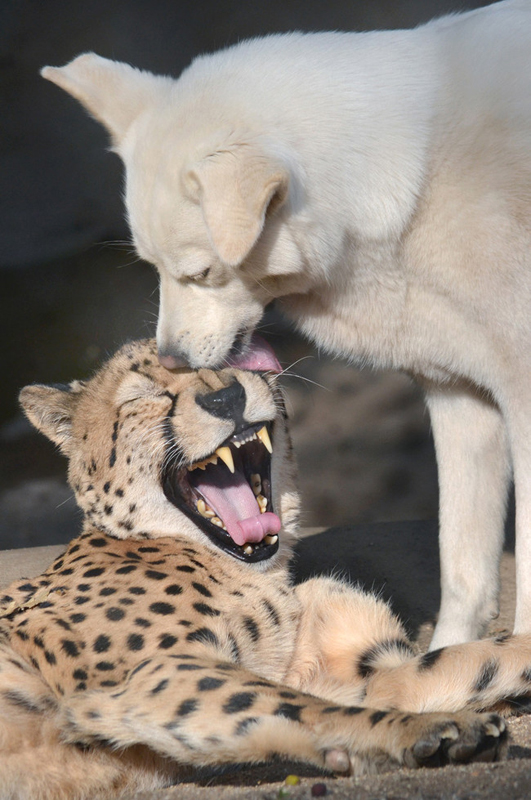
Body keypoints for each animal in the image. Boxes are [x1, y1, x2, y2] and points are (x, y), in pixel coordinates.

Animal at [2, 340, 528, 800]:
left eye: (233, 359)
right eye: (144, 395)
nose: (225, 397)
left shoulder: (355, 674)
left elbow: (467, 658)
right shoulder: (151, 674)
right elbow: (312, 710)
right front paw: (433, 729)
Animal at [41, 1, 531, 648]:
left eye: (201, 272)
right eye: (153, 267)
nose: (170, 359)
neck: (409, 186)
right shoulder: (460, 396)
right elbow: (462, 567)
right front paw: (450, 654)